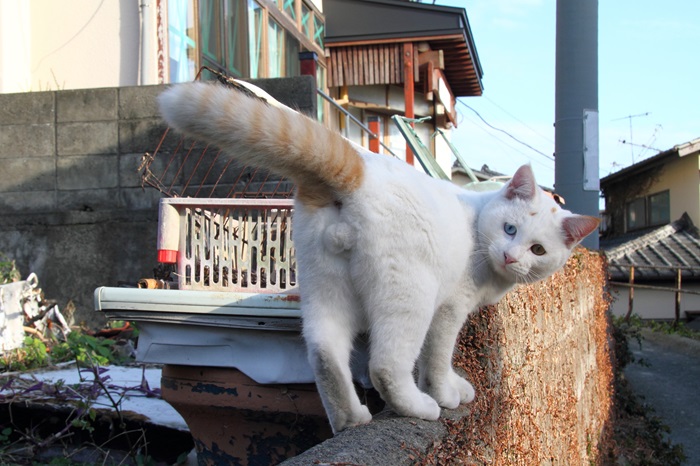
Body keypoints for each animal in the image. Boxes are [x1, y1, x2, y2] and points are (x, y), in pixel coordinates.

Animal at [157, 80, 596, 434]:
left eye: (538, 250)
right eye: (510, 230)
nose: (510, 257)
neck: (478, 227)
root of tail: (360, 172)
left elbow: (430, 363)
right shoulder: (448, 311)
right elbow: (437, 359)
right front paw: (445, 393)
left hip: (326, 289)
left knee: (325, 353)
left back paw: (350, 419)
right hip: (410, 297)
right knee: (384, 365)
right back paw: (418, 406)